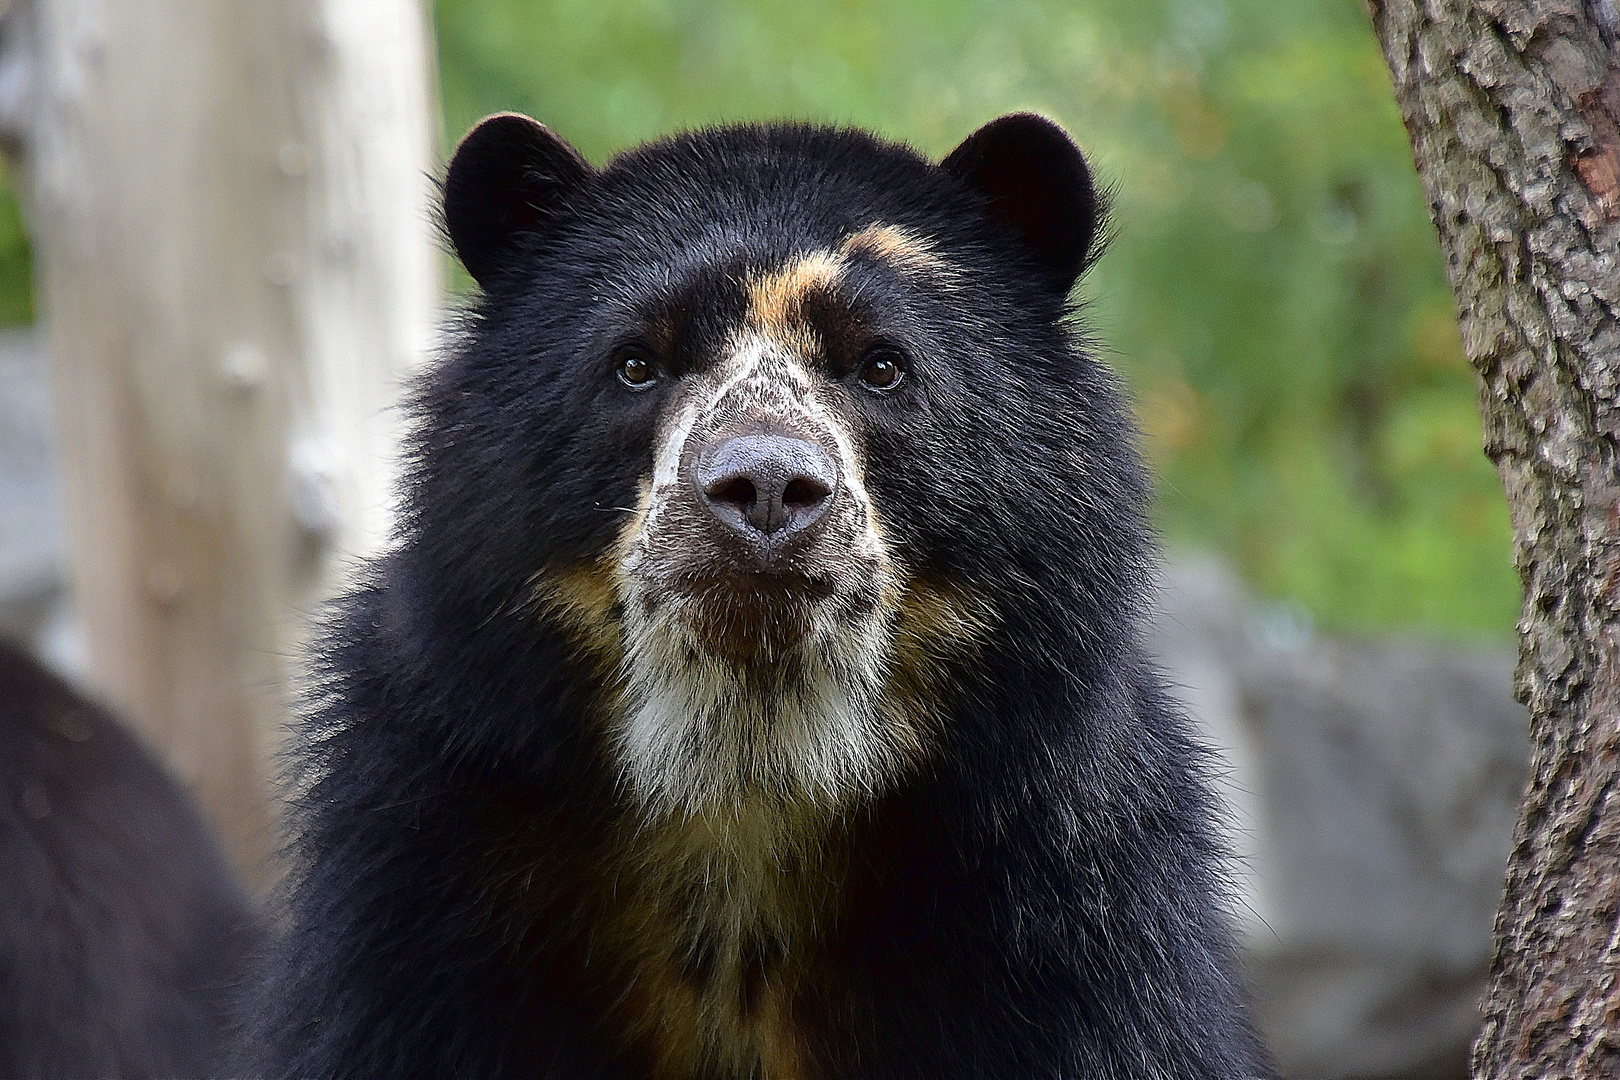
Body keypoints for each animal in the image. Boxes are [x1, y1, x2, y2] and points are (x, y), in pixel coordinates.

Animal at [246, 111, 1270, 1080]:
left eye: (882, 366)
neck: (748, 782)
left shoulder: (1069, 908)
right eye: (636, 364)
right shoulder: (418, 889)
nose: (768, 487)